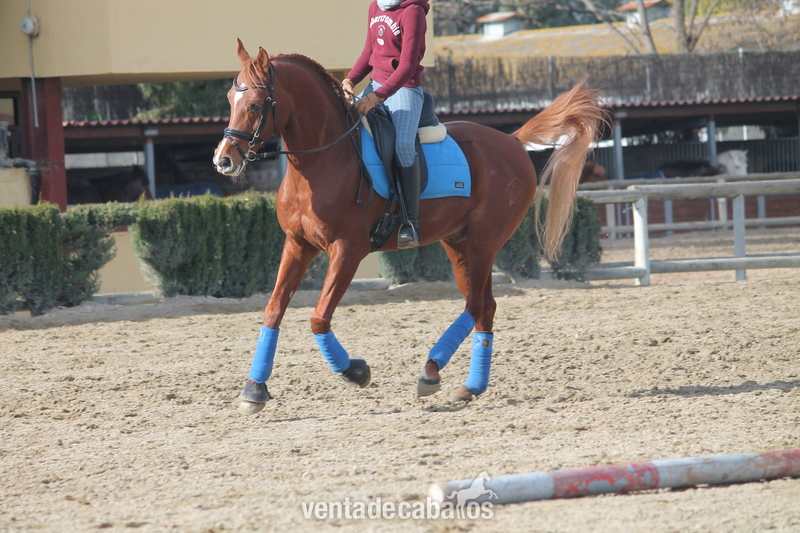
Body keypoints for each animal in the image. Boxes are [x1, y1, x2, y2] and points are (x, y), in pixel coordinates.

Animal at [213, 41, 606, 414]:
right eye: (231, 100)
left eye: (256, 105)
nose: (223, 161)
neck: (320, 162)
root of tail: (510, 140)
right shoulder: (297, 244)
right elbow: (274, 310)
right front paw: (254, 389)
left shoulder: (348, 250)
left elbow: (318, 318)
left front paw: (356, 371)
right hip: (457, 244)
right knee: (485, 306)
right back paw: (467, 385)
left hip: (484, 242)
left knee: (478, 303)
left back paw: (432, 371)